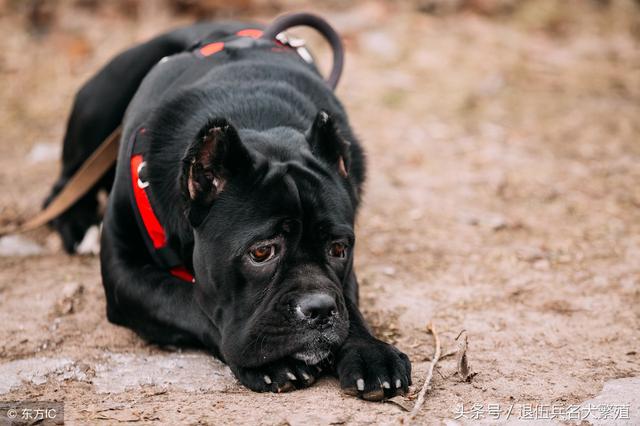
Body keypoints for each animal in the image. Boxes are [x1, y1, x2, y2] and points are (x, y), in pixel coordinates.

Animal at [47, 20, 412, 400]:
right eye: (262, 252)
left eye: (339, 249)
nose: (319, 308)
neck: (256, 119)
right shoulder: (125, 274)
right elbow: (191, 303)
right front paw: (273, 363)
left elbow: (349, 302)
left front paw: (369, 351)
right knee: (67, 181)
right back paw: (77, 225)